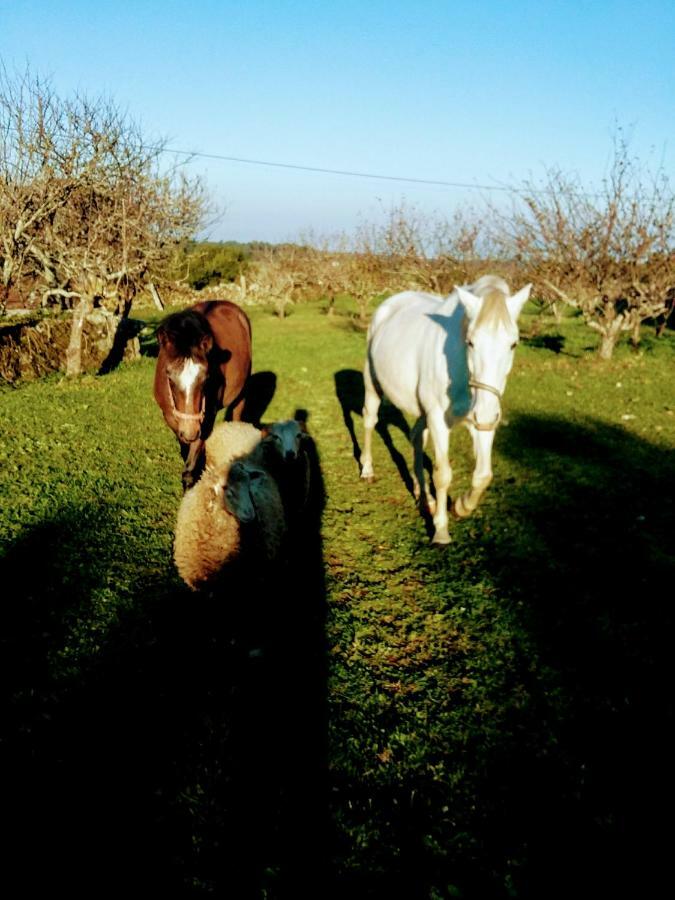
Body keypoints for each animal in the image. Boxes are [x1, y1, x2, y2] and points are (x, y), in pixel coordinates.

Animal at [153, 300, 254, 486]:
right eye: (168, 375)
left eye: (206, 378)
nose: (191, 431)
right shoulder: (172, 420)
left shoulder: (205, 420)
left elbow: (189, 471)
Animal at [362, 272, 532, 540]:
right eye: (470, 342)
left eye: (513, 344)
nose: (485, 413)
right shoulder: (440, 421)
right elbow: (443, 474)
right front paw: (441, 530)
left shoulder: (482, 422)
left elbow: (483, 475)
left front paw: (461, 506)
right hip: (373, 385)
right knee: (370, 421)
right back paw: (367, 470)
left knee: (416, 437)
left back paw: (424, 497)